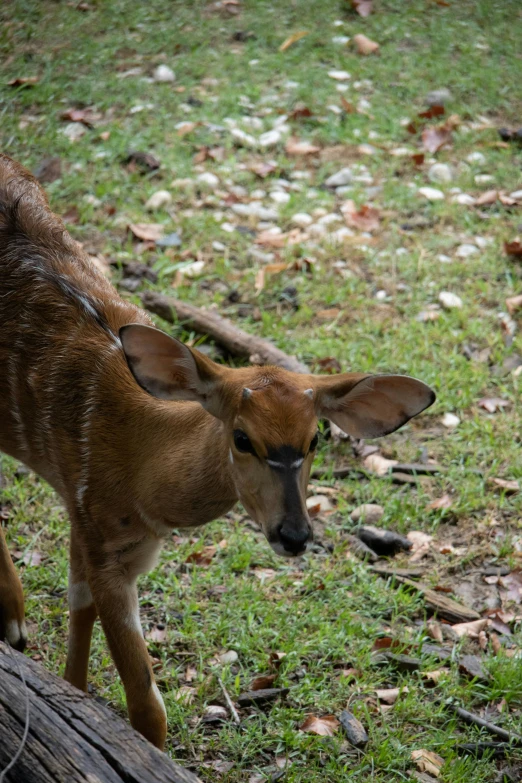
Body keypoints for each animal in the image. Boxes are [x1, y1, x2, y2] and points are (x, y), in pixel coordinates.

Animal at [0, 152, 432, 748]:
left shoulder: (85, 521)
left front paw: (74, 696)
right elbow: (146, 705)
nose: (294, 535)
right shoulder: (101, 535)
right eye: (242, 438)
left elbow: (77, 604)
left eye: (315, 437)